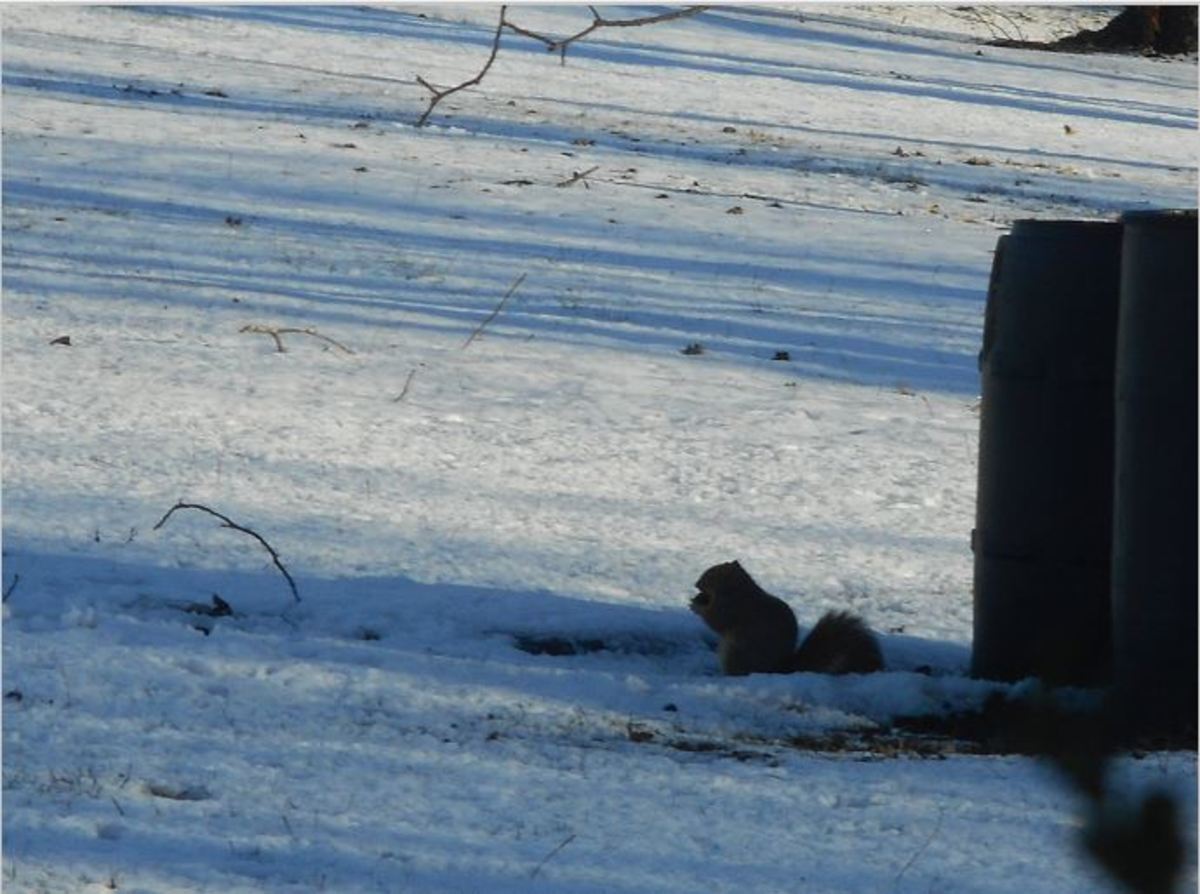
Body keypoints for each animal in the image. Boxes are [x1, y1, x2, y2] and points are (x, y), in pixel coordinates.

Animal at [689, 560, 884, 676]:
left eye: (712, 573)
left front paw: (695, 607)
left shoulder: (733, 607)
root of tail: (779, 670)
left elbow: (717, 620)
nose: (695, 583)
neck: (738, 590)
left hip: (735, 652)